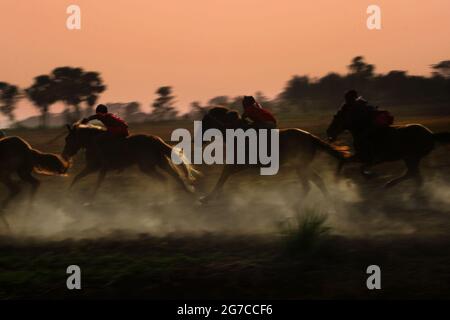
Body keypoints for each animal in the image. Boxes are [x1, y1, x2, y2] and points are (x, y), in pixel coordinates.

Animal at [61, 123, 199, 196]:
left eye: (68, 138)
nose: (64, 154)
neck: (92, 141)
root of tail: (155, 139)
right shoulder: (99, 169)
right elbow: (88, 180)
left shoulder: (94, 167)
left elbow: (84, 179)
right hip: (160, 164)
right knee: (174, 177)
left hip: (147, 167)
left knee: (165, 178)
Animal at [199, 107, 350, 202]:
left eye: (205, 122)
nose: (197, 139)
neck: (236, 132)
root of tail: (311, 137)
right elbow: (224, 175)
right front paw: (210, 197)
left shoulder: (242, 163)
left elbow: (224, 174)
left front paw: (207, 198)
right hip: (302, 166)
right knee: (318, 181)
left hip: (300, 166)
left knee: (307, 186)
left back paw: (295, 206)